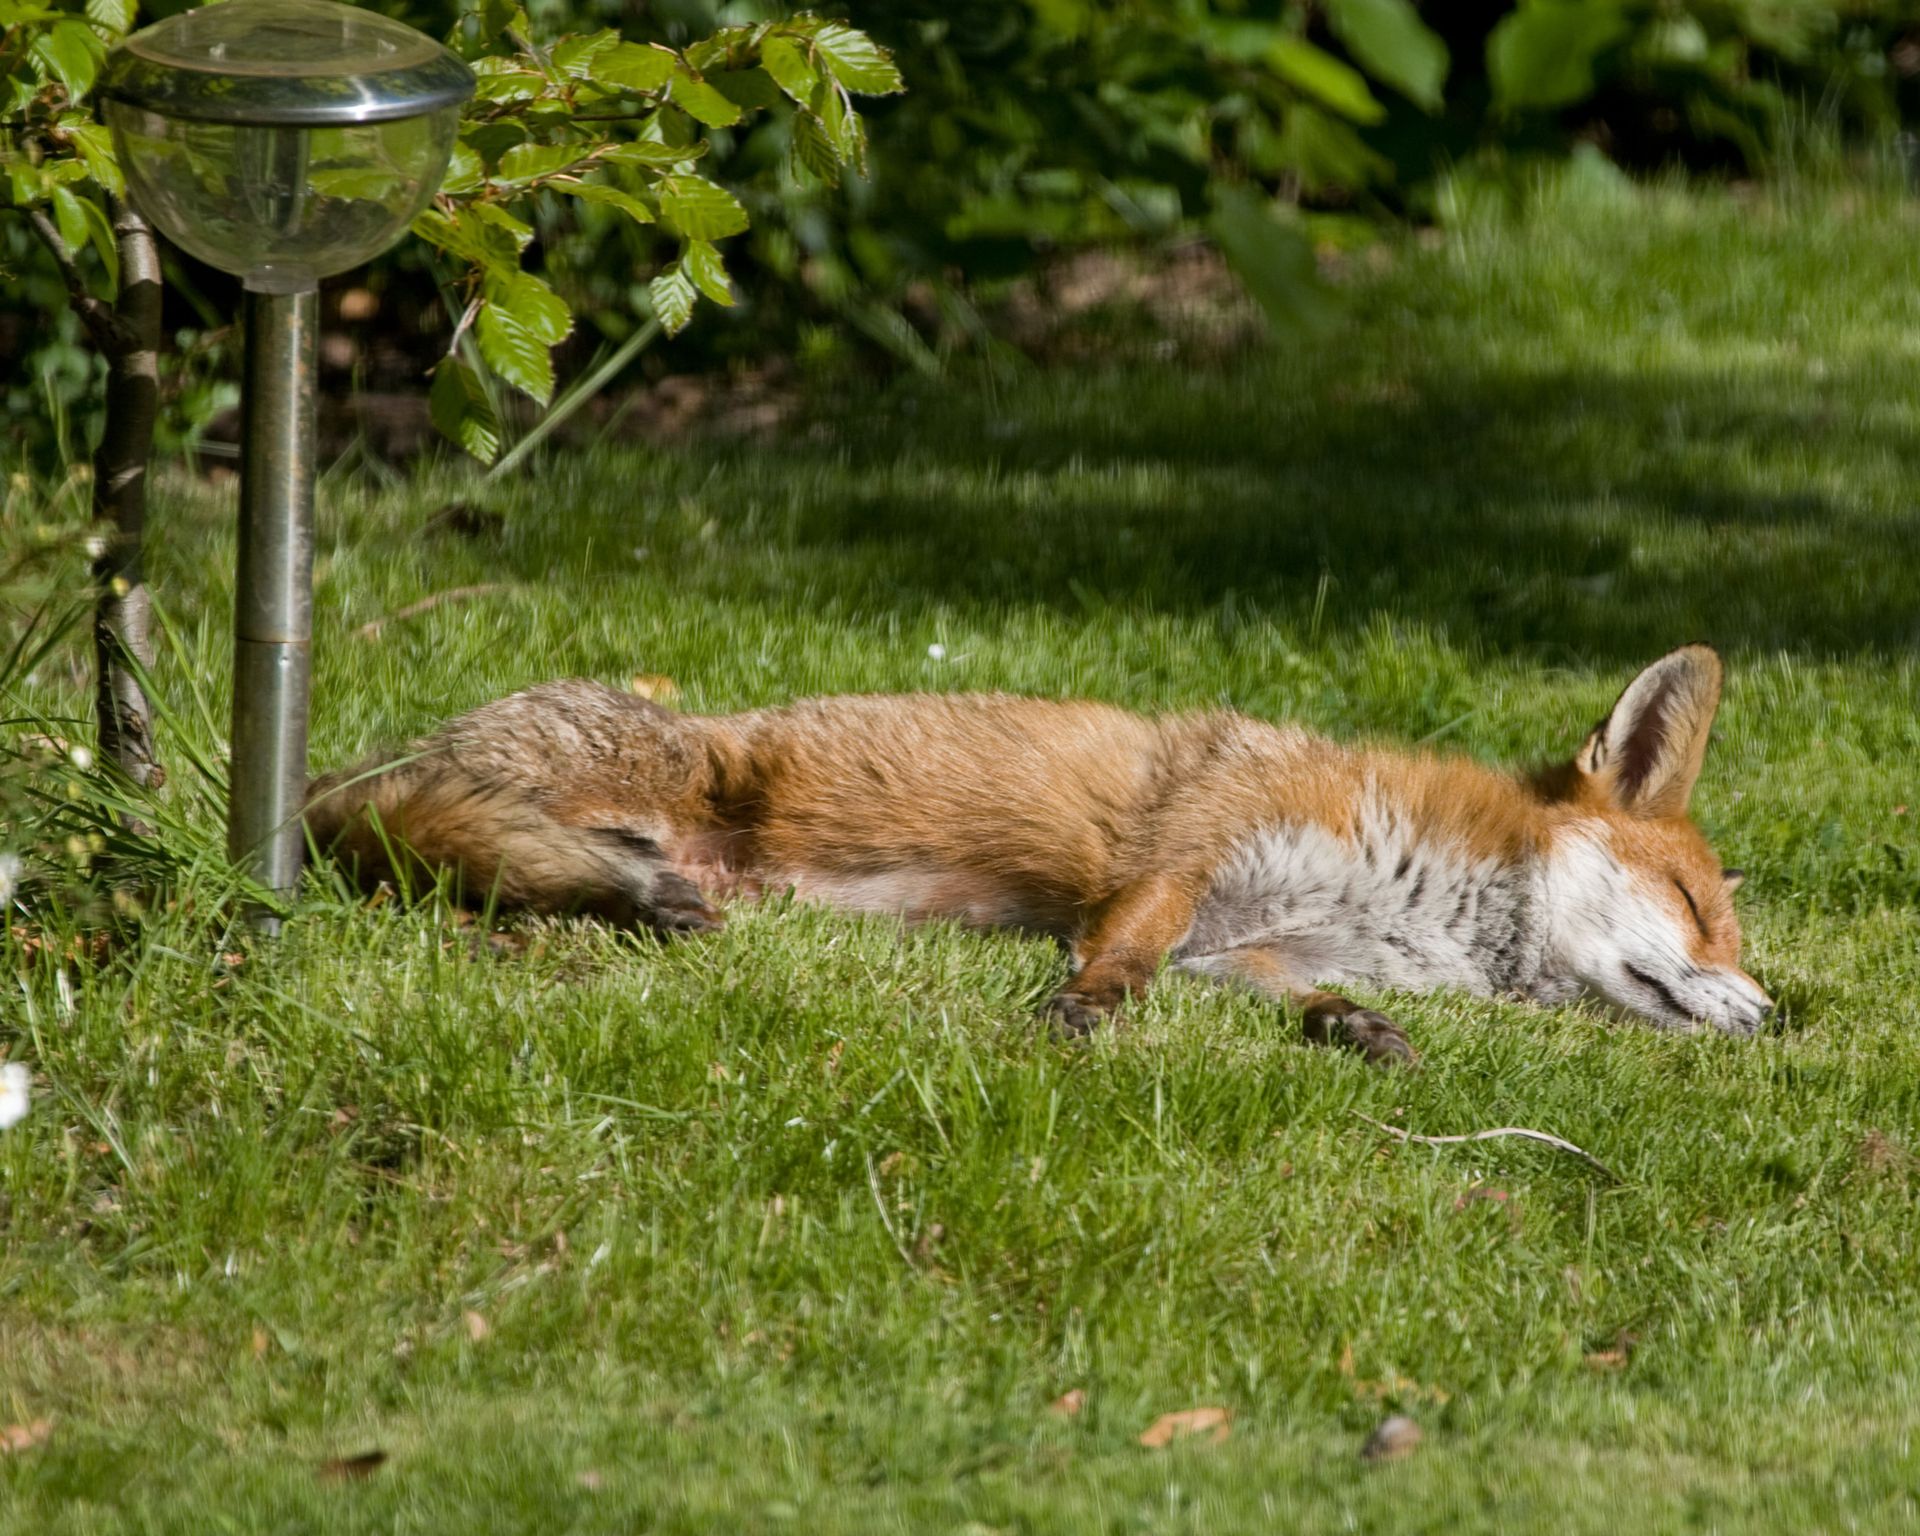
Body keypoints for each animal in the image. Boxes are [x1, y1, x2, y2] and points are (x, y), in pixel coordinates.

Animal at [303, 644, 1770, 1064]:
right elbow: (1119, 951)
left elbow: (1298, 1001)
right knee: (416, 844)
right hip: (630, 774)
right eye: (1700, 909)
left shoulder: (1250, 950)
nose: (1774, 1014)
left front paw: (1358, 1035)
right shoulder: (1187, 853)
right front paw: (1081, 1014)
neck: (1407, 898)